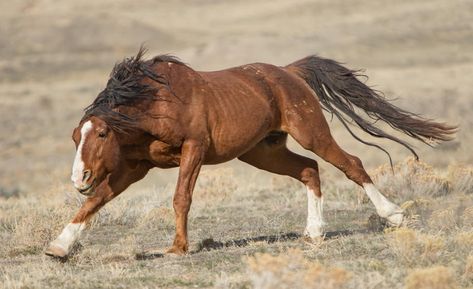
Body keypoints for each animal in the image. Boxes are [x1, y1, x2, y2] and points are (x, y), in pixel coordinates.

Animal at [44, 47, 454, 256]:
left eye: (101, 133)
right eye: (74, 137)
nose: (78, 177)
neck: (156, 102)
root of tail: (289, 72)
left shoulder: (193, 149)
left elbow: (180, 198)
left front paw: (178, 248)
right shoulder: (135, 167)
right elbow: (95, 201)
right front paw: (59, 247)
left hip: (311, 132)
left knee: (350, 164)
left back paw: (393, 215)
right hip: (262, 152)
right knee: (309, 169)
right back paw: (314, 232)